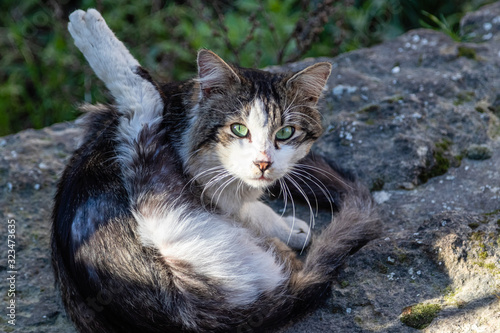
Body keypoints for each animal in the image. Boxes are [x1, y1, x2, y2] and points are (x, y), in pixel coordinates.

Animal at [52, 8, 380, 332]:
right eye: (238, 129)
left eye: (286, 133)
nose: (263, 163)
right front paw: (287, 227)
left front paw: (285, 226)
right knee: (140, 98)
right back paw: (87, 24)